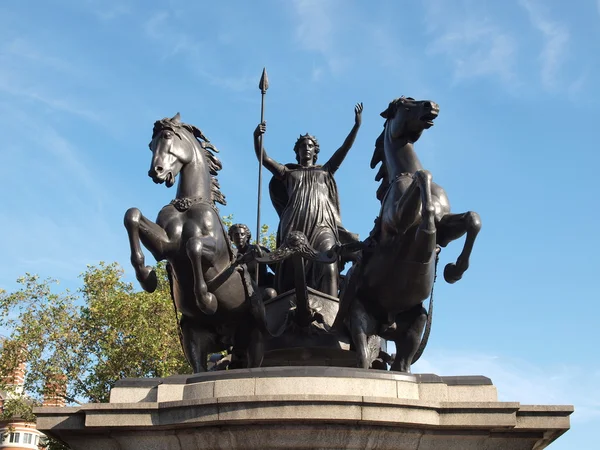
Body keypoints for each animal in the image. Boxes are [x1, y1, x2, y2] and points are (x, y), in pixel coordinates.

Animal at [123, 113, 264, 372]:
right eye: (150, 145)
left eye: (167, 136)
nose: (155, 172)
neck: (187, 204)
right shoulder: (166, 246)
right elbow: (133, 215)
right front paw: (147, 276)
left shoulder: (216, 254)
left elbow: (193, 246)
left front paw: (206, 300)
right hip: (193, 336)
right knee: (199, 367)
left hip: (255, 337)